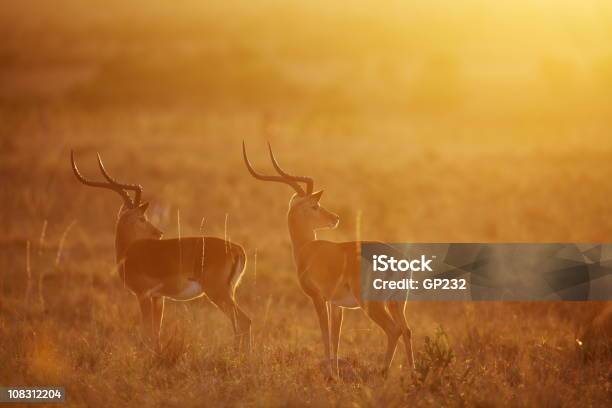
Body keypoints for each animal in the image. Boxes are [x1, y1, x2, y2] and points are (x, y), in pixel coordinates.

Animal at [71, 151, 251, 350]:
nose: (158, 232)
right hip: (228, 292)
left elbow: (147, 333)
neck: (129, 252)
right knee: (239, 323)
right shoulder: (159, 298)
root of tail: (237, 249)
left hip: (217, 292)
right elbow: (156, 333)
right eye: (142, 218)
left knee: (244, 321)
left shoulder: (143, 295)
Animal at [241, 143, 414, 376]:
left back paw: (383, 372)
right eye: (314, 206)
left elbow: (324, 333)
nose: (335, 218)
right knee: (406, 330)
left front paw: (331, 373)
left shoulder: (318, 298)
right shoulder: (336, 305)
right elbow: (335, 336)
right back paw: (414, 374)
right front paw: (335, 371)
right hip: (397, 302)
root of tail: (396, 259)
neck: (308, 249)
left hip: (372, 303)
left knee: (393, 330)